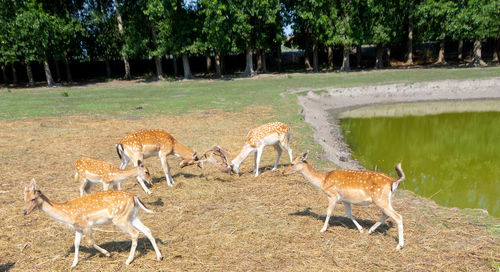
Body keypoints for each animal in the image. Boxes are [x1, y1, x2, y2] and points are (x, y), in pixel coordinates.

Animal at [23, 178, 162, 268]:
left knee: (135, 233)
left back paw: (128, 261)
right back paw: (159, 257)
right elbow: (76, 243)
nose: (24, 211)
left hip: (120, 219)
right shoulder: (78, 227)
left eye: (33, 198)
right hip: (132, 216)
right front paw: (73, 264)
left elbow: (90, 242)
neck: (67, 213)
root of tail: (134, 197)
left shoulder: (86, 225)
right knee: (147, 230)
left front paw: (107, 253)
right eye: (24, 198)